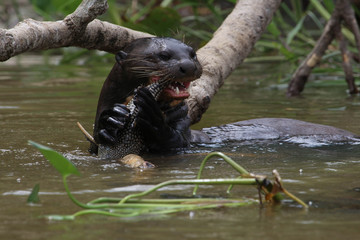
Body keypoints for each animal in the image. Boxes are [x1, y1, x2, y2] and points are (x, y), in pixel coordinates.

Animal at [90, 37, 360, 160]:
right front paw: (112, 120)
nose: (188, 65)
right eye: (164, 55)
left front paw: (151, 115)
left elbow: (174, 142)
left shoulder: (182, 134)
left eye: (192, 53)